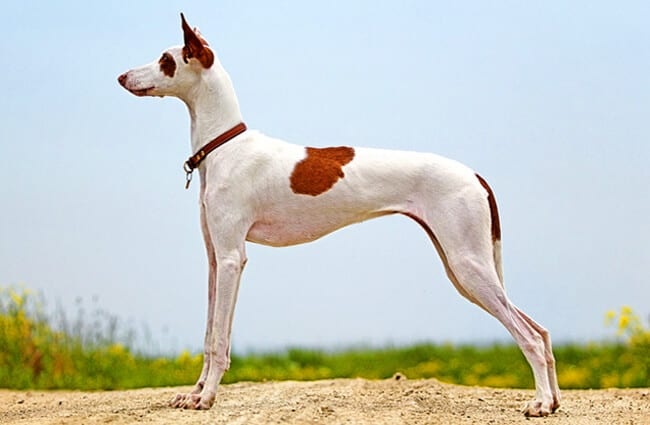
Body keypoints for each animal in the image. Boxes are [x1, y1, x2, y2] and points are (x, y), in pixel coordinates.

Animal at [119, 12, 560, 414]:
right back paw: (553, 400)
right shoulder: (214, 260)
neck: (224, 146)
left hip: (468, 264)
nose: (121, 76)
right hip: (463, 269)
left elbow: (220, 339)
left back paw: (539, 403)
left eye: (165, 59)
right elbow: (209, 333)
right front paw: (193, 392)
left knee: (528, 335)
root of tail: (475, 175)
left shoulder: (232, 258)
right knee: (541, 330)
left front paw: (207, 397)